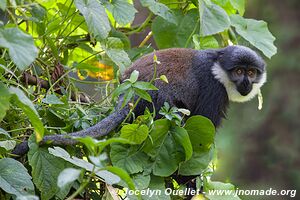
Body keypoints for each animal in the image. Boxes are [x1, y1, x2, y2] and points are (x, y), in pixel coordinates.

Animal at [11, 45, 266, 156]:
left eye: (251, 72)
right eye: (239, 71)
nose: (246, 83)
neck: (217, 67)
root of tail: (132, 89)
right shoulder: (214, 90)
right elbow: (202, 127)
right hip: (159, 100)